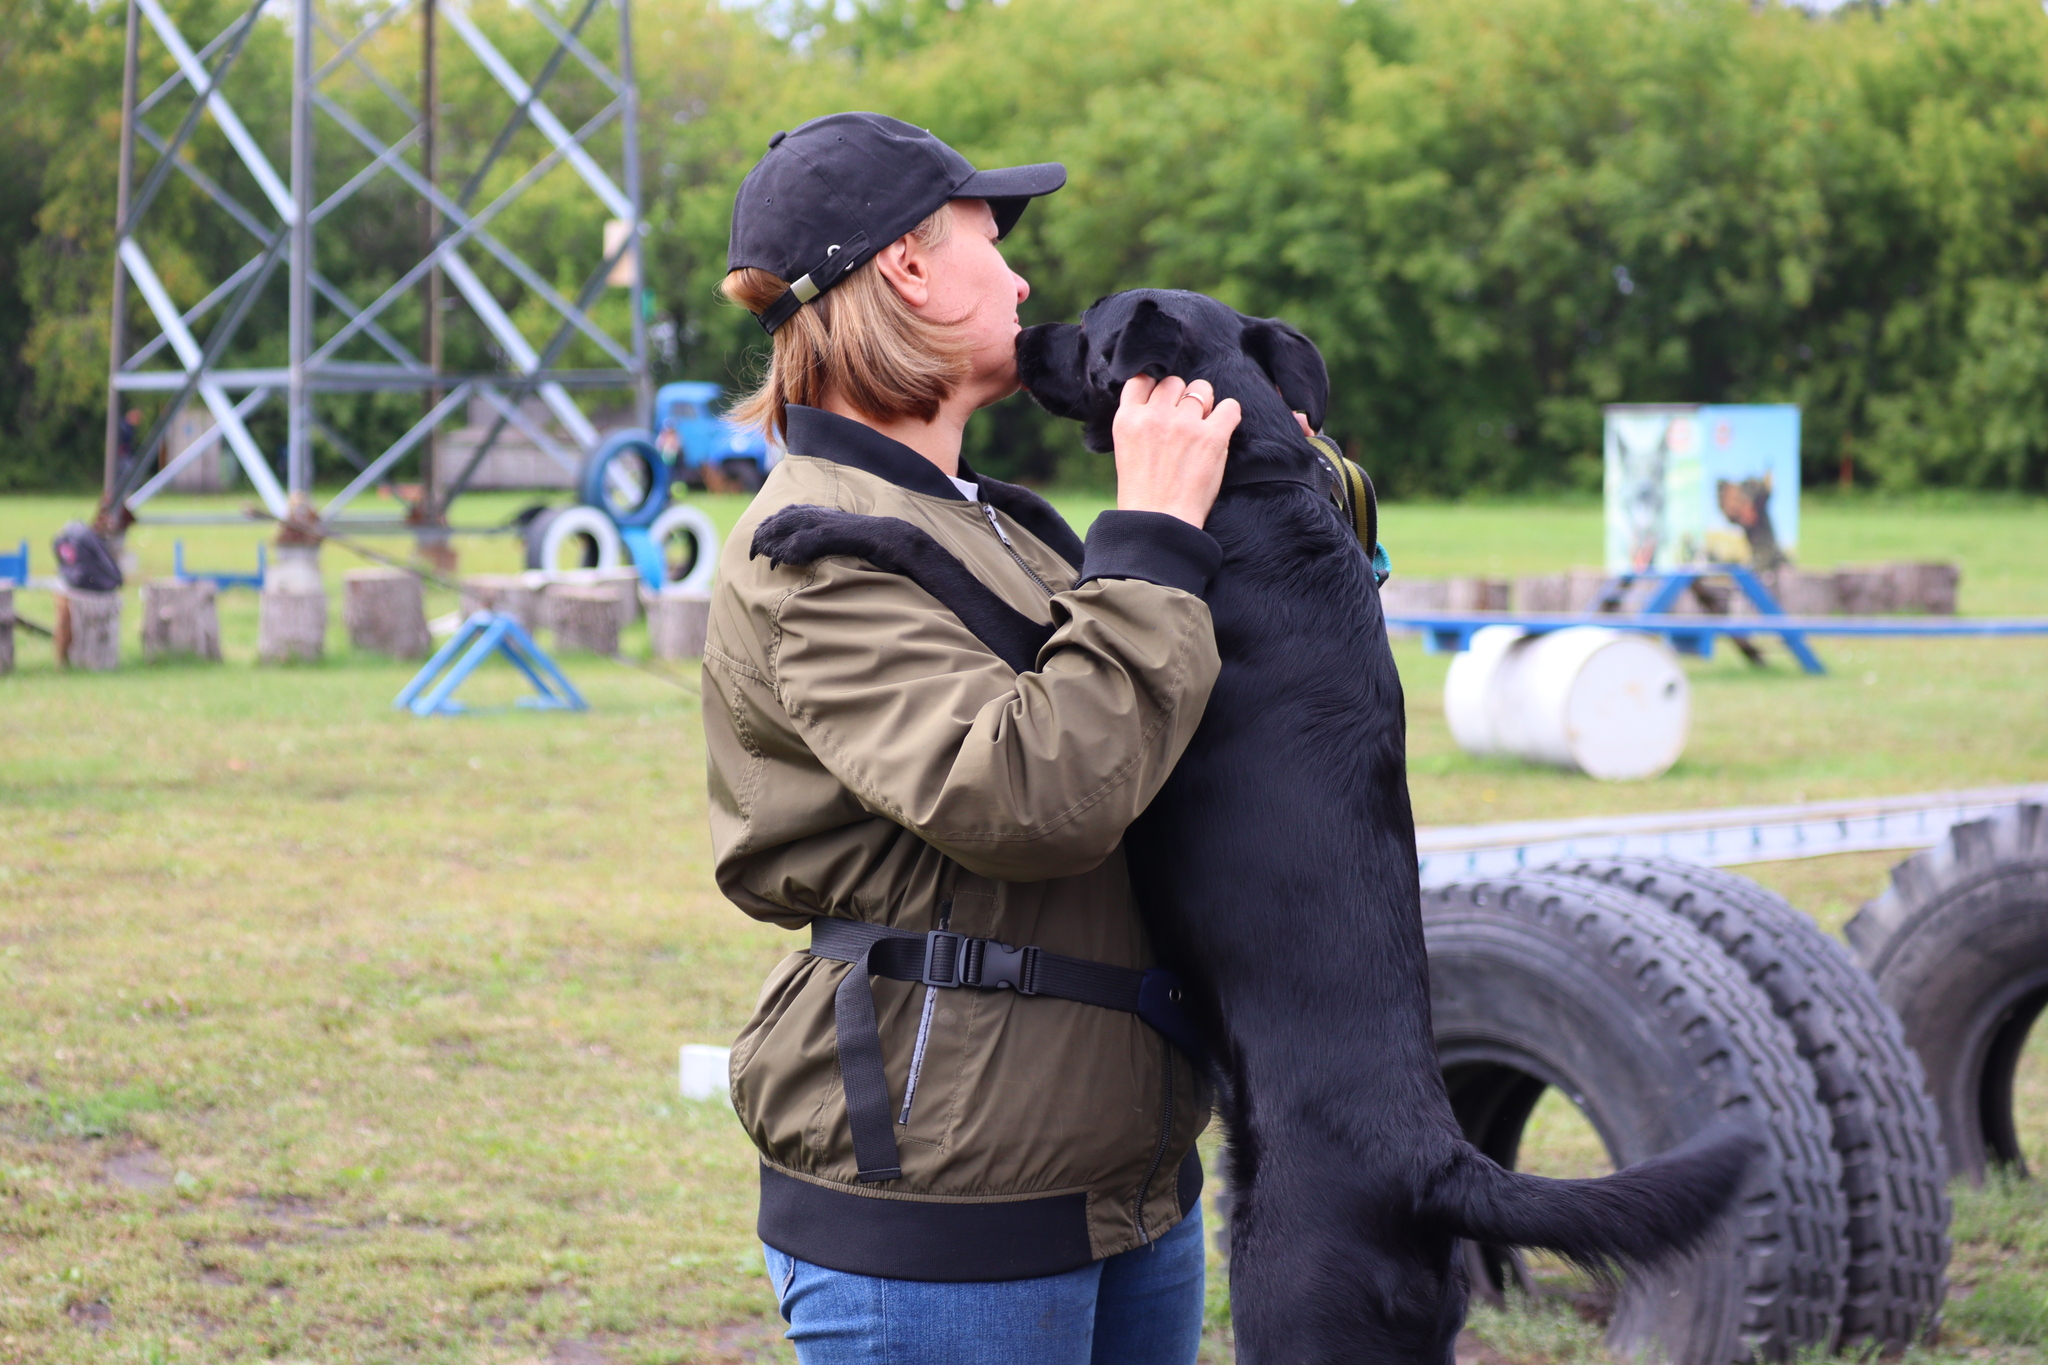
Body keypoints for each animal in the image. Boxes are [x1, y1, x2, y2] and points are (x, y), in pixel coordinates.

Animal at [761, 294, 1753, 1358]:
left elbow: (947, 561)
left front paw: (825, 522)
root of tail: (1435, 1162)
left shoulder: (1052, 655)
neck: (1253, 482)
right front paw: (1007, 488)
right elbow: (1083, 533)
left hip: (1285, 1291)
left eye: (1091, 326)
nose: (1024, 330)